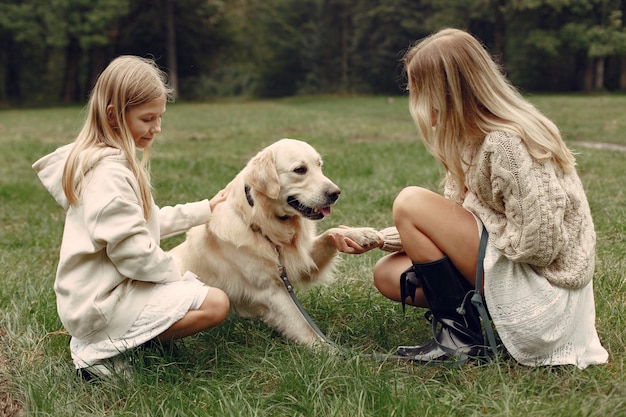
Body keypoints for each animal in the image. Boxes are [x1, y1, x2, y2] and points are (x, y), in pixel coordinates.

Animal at [168, 138, 378, 342]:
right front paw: (329, 351)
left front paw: (361, 234)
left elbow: (330, 233)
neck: (262, 224)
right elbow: (305, 327)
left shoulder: (301, 260)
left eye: (319, 165)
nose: (336, 193)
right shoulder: (270, 291)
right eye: (300, 169)